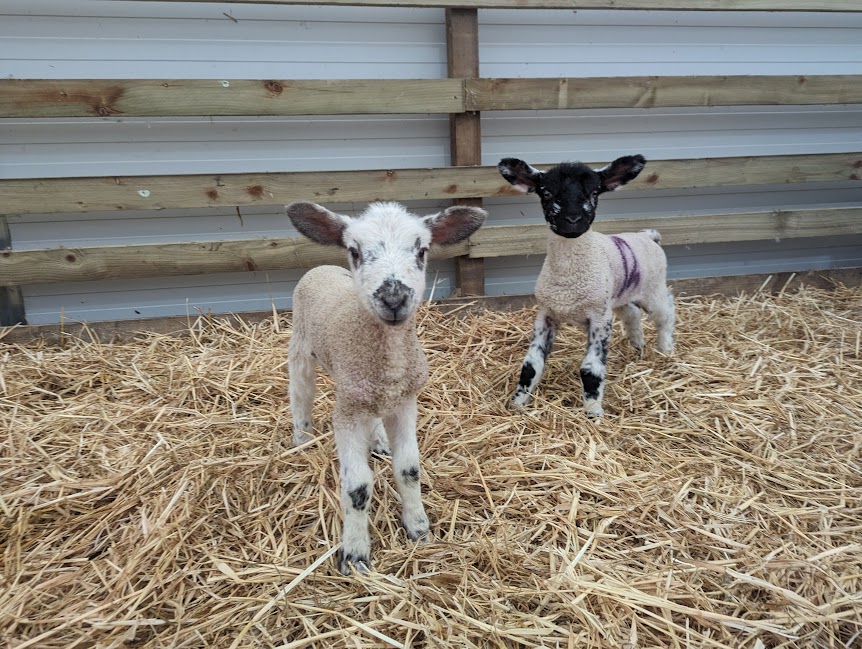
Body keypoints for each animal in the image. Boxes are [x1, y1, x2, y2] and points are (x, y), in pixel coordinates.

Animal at [286, 200, 487, 574]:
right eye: (355, 251)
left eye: (422, 251)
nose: (394, 298)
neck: (389, 357)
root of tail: (322, 267)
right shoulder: (347, 413)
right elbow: (357, 487)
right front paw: (355, 553)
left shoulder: (405, 401)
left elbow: (409, 470)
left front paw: (419, 529)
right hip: (301, 346)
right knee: (300, 394)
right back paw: (301, 440)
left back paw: (378, 440)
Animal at [497, 155, 674, 418]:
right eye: (546, 192)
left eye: (594, 192)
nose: (573, 220)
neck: (569, 278)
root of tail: (648, 235)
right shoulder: (547, 314)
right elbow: (531, 365)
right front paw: (517, 403)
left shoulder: (599, 319)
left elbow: (591, 369)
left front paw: (593, 413)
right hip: (618, 296)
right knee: (631, 313)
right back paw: (637, 346)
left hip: (652, 289)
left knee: (666, 314)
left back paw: (665, 349)